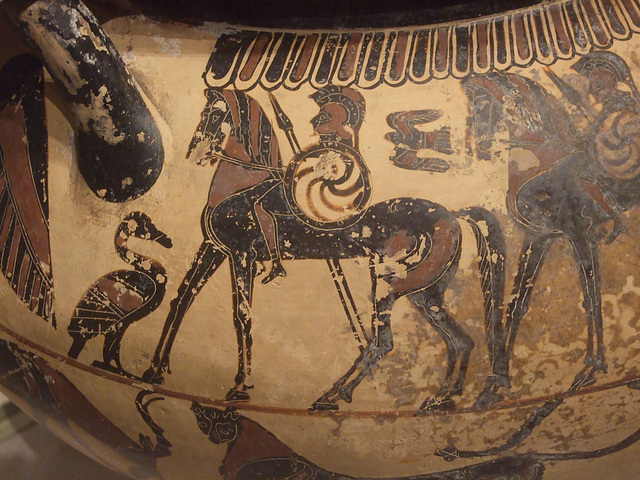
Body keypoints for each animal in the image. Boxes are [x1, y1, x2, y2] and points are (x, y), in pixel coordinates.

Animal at [144, 87, 504, 412]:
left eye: (215, 114)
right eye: (203, 112)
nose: (196, 154)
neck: (242, 184)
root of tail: (452, 215)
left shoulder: (242, 254)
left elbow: (242, 316)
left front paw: (240, 387)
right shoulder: (213, 248)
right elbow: (182, 299)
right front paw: (155, 370)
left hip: (388, 283)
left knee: (381, 341)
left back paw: (335, 395)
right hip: (424, 292)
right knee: (459, 340)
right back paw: (442, 398)